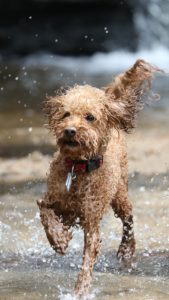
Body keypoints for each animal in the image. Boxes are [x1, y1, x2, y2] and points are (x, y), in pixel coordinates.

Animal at [37, 59, 158, 298]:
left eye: (90, 117)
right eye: (66, 114)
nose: (70, 131)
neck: (78, 168)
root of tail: (108, 98)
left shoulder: (91, 222)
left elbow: (87, 262)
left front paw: (80, 291)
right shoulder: (52, 200)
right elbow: (46, 214)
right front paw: (60, 240)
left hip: (120, 194)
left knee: (129, 219)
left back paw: (126, 249)